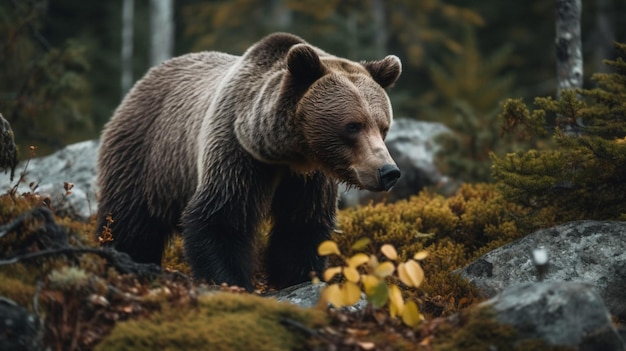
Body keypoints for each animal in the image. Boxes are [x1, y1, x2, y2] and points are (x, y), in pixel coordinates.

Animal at [97, 33, 400, 292]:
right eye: (353, 126)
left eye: (383, 126)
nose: (388, 171)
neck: (288, 153)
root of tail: (143, 81)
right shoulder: (237, 152)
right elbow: (222, 218)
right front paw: (232, 282)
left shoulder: (309, 178)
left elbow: (302, 226)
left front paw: (299, 277)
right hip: (146, 157)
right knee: (130, 223)